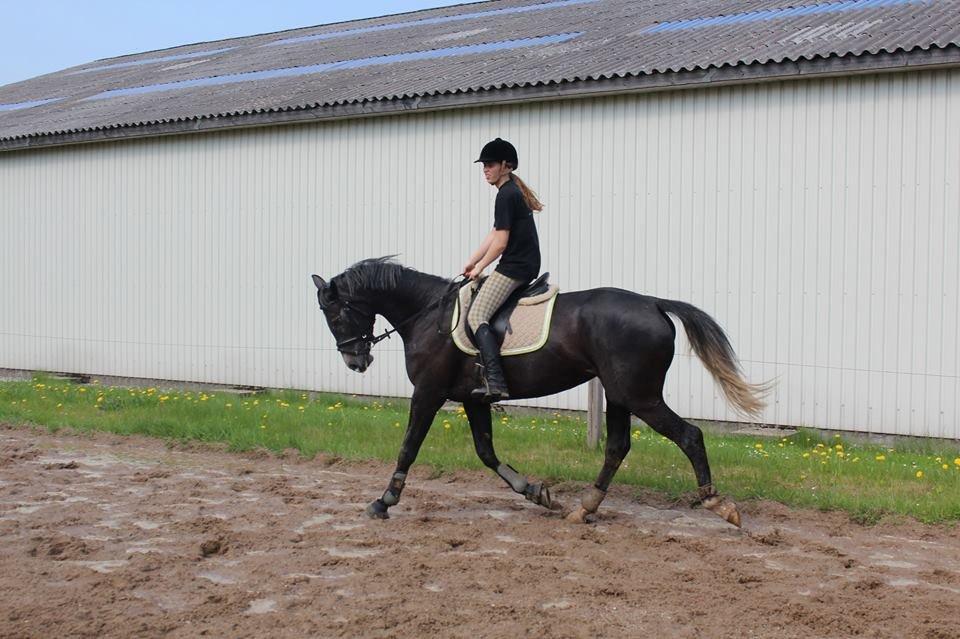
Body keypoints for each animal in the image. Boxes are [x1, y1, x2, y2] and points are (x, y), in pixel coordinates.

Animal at [312, 258, 768, 528]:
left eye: (336, 314)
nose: (355, 362)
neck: (429, 316)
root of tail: (654, 304)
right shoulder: (473, 398)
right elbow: (486, 452)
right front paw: (537, 493)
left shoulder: (429, 392)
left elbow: (409, 446)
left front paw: (384, 501)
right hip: (619, 395)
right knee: (617, 447)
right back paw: (585, 507)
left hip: (640, 396)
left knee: (689, 435)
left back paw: (717, 504)